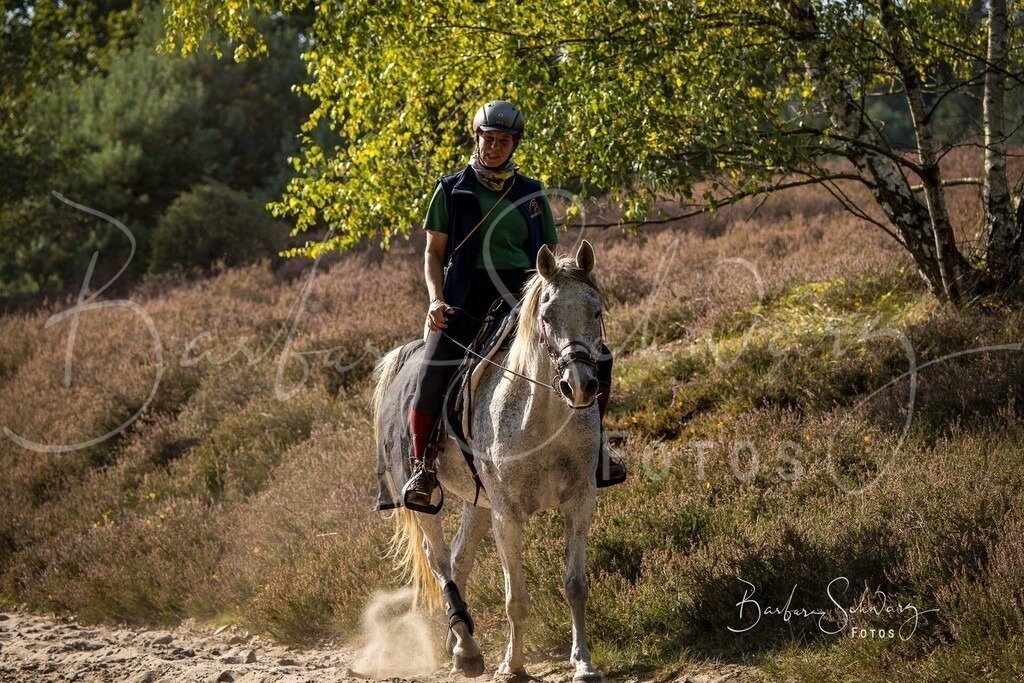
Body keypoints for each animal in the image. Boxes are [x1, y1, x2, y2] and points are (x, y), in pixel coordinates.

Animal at [371, 240, 606, 682]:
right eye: (547, 315)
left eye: (596, 311)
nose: (580, 386)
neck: (541, 417)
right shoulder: (506, 514)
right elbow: (516, 599)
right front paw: (512, 665)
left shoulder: (580, 501)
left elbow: (575, 586)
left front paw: (583, 662)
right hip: (429, 501)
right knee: (440, 559)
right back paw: (467, 650)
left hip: (477, 501)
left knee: (459, 557)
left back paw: (458, 641)